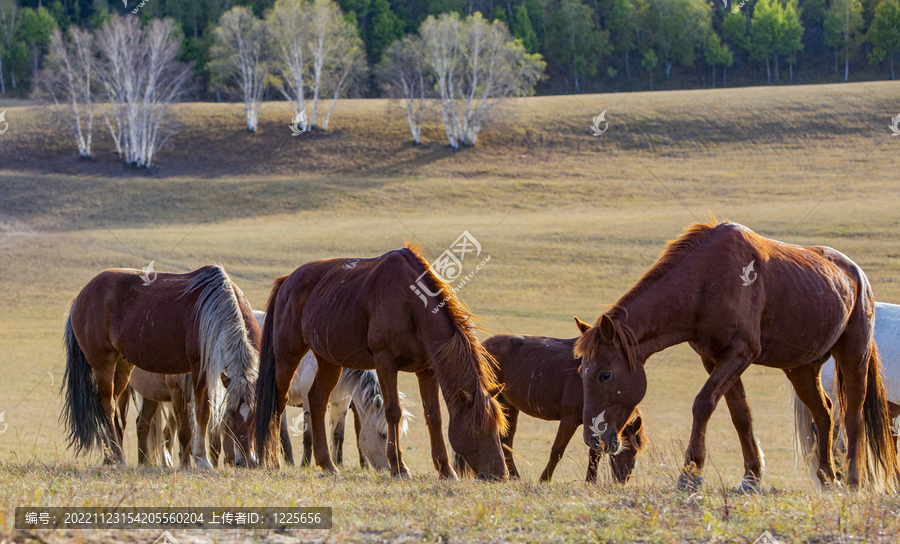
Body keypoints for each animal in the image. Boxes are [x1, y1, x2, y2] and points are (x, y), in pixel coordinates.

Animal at [62, 264, 260, 468]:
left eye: (255, 416)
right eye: (230, 416)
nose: (247, 461)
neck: (215, 309)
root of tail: (80, 297)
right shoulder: (199, 369)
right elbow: (202, 413)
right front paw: (202, 460)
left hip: (123, 367)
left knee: (114, 409)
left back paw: (112, 457)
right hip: (103, 363)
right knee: (106, 405)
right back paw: (119, 457)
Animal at [255, 244, 506, 478]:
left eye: (497, 428)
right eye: (477, 429)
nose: (500, 473)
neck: (411, 302)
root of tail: (288, 280)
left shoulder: (427, 370)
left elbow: (434, 416)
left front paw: (446, 470)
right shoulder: (386, 363)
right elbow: (393, 411)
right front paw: (399, 467)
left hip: (329, 362)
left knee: (317, 401)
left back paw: (327, 464)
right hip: (287, 355)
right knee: (279, 401)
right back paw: (273, 461)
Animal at [486, 316, 648, 482]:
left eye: (635, 451)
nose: (622, 480)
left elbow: (594, 453)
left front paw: (590, 482)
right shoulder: (569, 419)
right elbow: (557, 451)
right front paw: (543, 481)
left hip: (509, 406)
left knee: (506, 442)